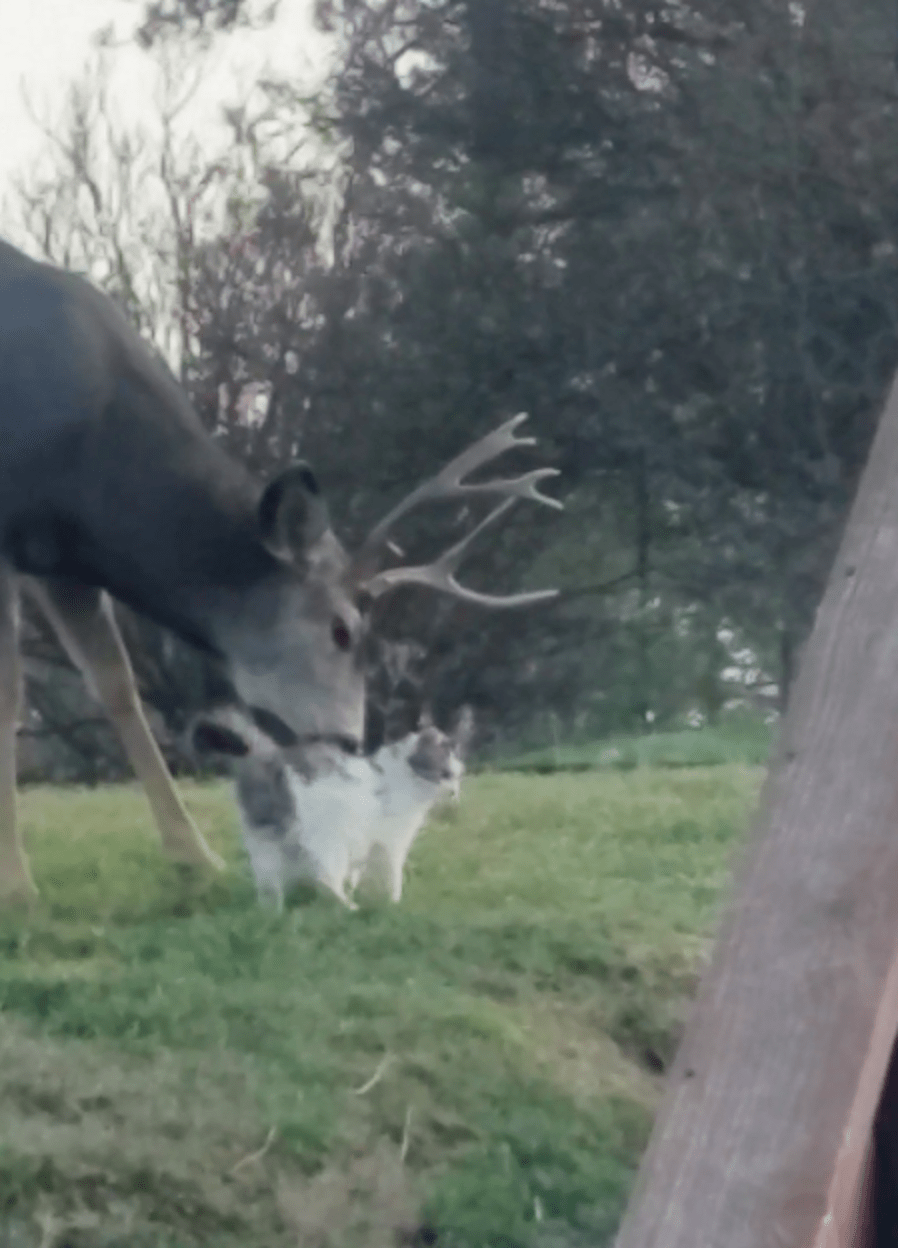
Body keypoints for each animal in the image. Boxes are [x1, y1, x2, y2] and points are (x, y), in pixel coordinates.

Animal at [190, 705, 474, 910]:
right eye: (445, 775)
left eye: (458, 777)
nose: (454, 793)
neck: (398, 776)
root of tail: (270, 757)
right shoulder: (391, 844)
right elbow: (393, 878)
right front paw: (394, 904)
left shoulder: (366, 845)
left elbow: (357, 874)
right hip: (328, 842)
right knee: (326, 880)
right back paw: (351, 910)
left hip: (265, 844)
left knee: (269, 885)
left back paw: (273, 915)